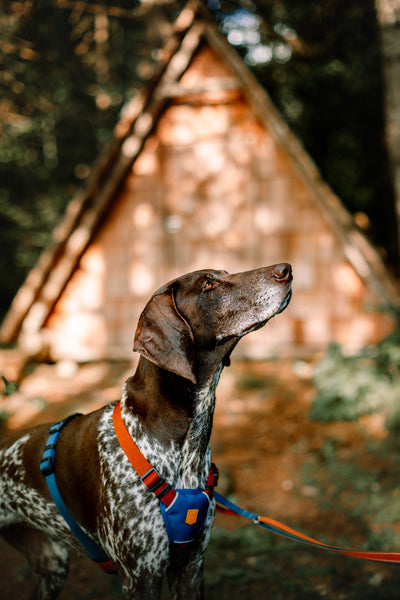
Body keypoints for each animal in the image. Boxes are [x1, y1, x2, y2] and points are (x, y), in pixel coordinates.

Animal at [1, 264, 292, 596]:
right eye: (208, 284)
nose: (286, 269)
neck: (184, 445)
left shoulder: (191, 566)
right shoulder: (141, 576)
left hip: (51, 565)